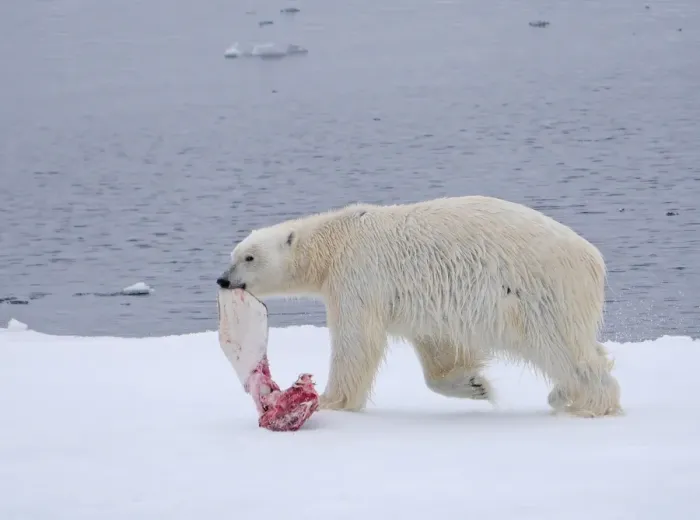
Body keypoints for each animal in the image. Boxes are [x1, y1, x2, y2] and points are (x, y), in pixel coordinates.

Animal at [216, 195, 622, 418]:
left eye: (248, 257)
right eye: (233, 255)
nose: (222, 280)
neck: (337, 239)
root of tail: (593, 259)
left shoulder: (358, 273)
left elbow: (356, 341)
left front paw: (331, 401)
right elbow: (438, 346)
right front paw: (475, 385)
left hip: (539, 291)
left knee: (561, 347)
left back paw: (589, 402)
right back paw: (563, 394)